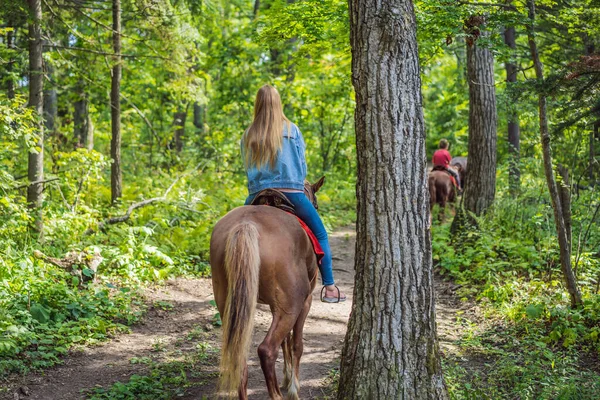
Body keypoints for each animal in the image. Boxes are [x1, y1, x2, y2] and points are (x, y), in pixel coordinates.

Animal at [210, 180, 324, 400]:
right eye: (315, 204)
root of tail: (246, 226)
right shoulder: (304, 303)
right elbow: (296, 344)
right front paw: (293, 387)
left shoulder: (276, 305)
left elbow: (286, 341)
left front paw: (287, 377)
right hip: (291, 307)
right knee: (267, 350)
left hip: (228, 303)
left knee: (239, 356)